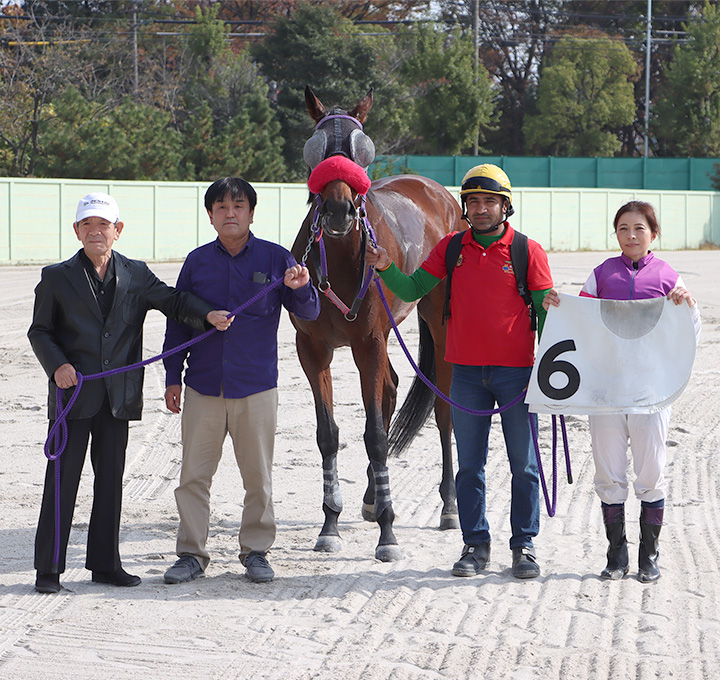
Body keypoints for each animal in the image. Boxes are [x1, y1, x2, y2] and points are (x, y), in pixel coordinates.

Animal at [288, 86, 462, 564]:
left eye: (360, 150)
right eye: (315, 149)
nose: (337, 210)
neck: (343, 258)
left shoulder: (368, 343)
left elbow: (377, 436)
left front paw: (388, 533)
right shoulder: (313, 348)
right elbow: (329, 435)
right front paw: (330, 524)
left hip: (436, 324)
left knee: (443, 411)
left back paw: (448, 505)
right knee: (390, 390)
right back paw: (371, 497)